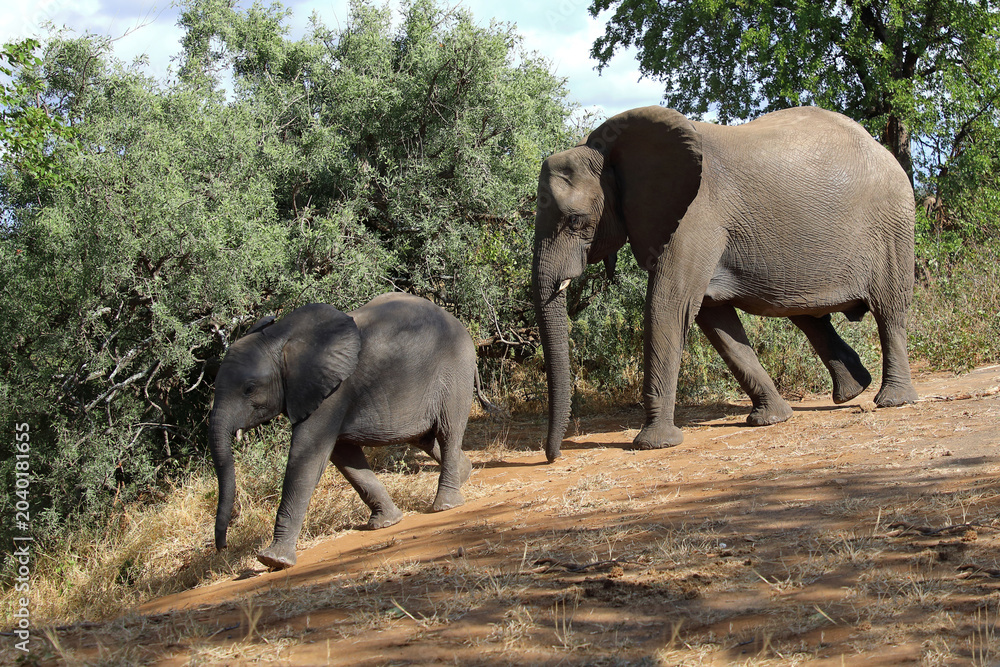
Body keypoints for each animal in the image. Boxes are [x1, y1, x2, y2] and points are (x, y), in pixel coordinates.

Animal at [209, 292, 491, 570]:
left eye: (249, 388)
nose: (223, 547)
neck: (280, 337)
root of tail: (460, 326)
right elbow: (343, 456)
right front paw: (386, 523)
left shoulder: (332, 393)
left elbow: (307, 458)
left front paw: (273, 559)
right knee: (423, 437)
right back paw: (464, 475)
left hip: (454, 371)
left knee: (447, 432)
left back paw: (445, 505)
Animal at [532, 105, 918, 461]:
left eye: (575, 221)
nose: (553, 456)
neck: (610, 151)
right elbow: (715, 320)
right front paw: (771, 419)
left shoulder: (695, 215)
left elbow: (668, 306)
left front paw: (653, 444)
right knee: (807, 315)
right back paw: (852, 391)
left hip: (892, 227)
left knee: (889, 311)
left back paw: (892, 400)